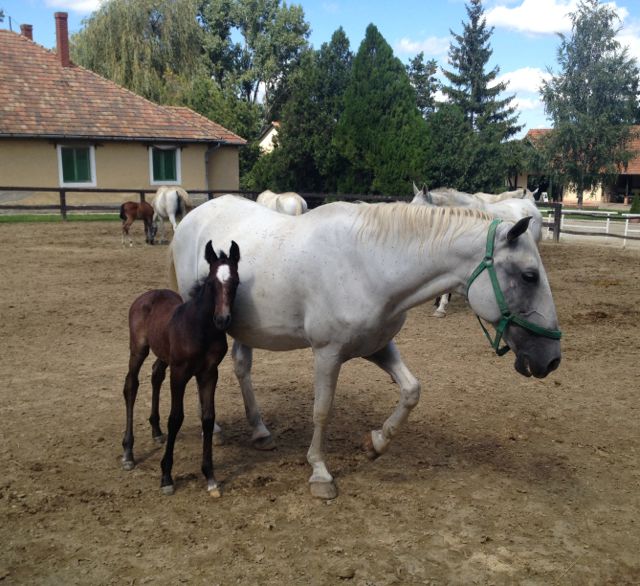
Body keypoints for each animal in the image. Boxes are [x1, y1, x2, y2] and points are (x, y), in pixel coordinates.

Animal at [121, 240, 241, 497]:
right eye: (211, 283)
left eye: (235, 282)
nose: (222, 320)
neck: (201, 328)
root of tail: (149, 294)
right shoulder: (180, 373)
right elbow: (176, 418)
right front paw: (166, 476)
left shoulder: (209, 373)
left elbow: (208, 417)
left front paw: (210, 477)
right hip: (138, 348)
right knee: (131, 384)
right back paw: (128, 452)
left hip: (164, 354)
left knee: (156, 373)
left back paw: (156, 432)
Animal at [169, 195, 561, 499]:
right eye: (529, 276)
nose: (552, 359)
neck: (370, 264)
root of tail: (194, 215)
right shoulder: (327, 353)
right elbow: (322, 410)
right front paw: (320, 473)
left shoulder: (378, 346)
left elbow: (411, 391)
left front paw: (376, 443)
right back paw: (215, 431)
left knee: (241, 367)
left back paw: (260, 431)